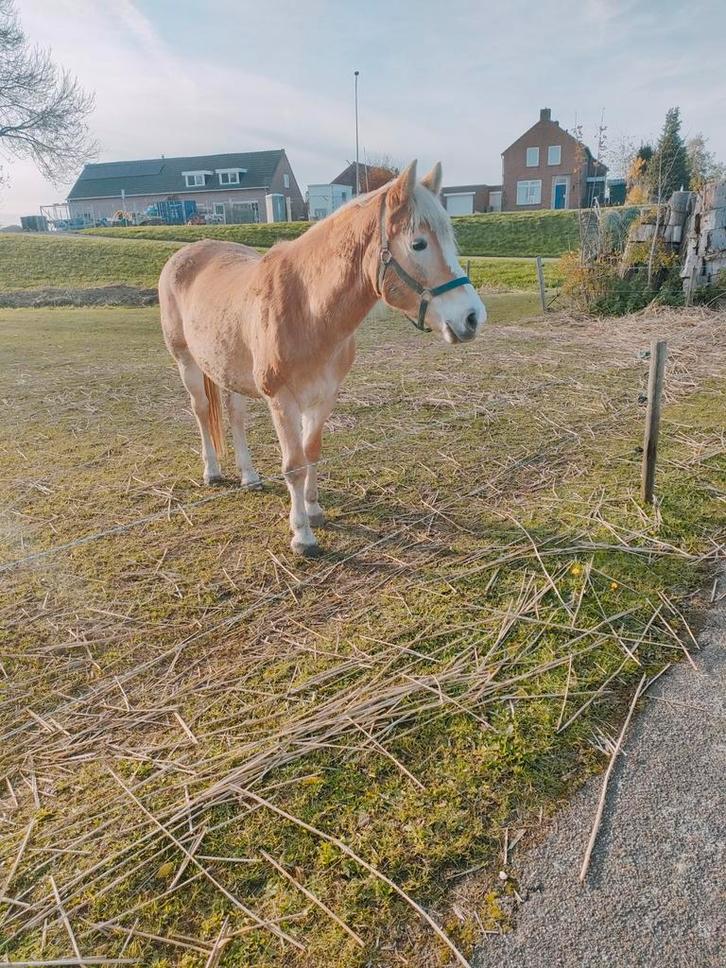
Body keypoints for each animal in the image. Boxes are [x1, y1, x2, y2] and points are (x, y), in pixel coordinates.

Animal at [159, 160, 486, 556]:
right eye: (418, 244)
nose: (472, 317)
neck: (307, 308)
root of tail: (185, 253)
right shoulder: (282, 401)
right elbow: (294, 465)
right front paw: (302, 535)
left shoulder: (324, 395)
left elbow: (312, 451)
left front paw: (314, 510)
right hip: (187, 362)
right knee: (202, 410)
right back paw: (212, 471)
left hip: (227, 368)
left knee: (235, 417)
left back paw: (249, 476)